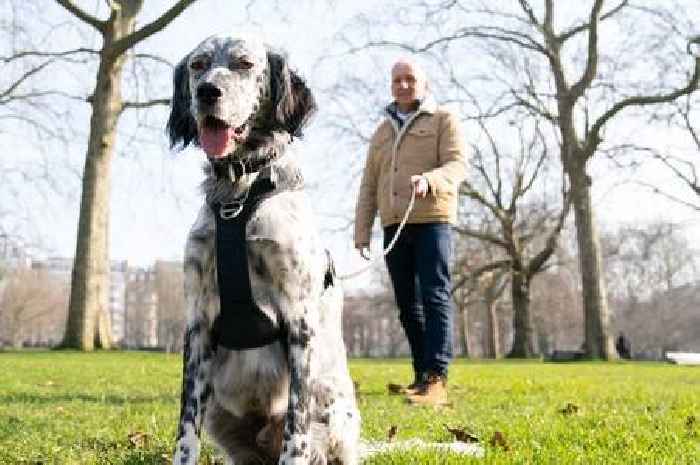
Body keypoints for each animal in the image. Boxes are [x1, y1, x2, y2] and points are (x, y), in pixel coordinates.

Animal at [166, 36, 358, 464]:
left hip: (336, 417)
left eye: (244, 64)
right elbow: (186, 426)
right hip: (222, 416)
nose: (208, 92)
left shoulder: (300, 323)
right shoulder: (197, 324)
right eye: (198, 65)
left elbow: (296, 427)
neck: (238, 194)